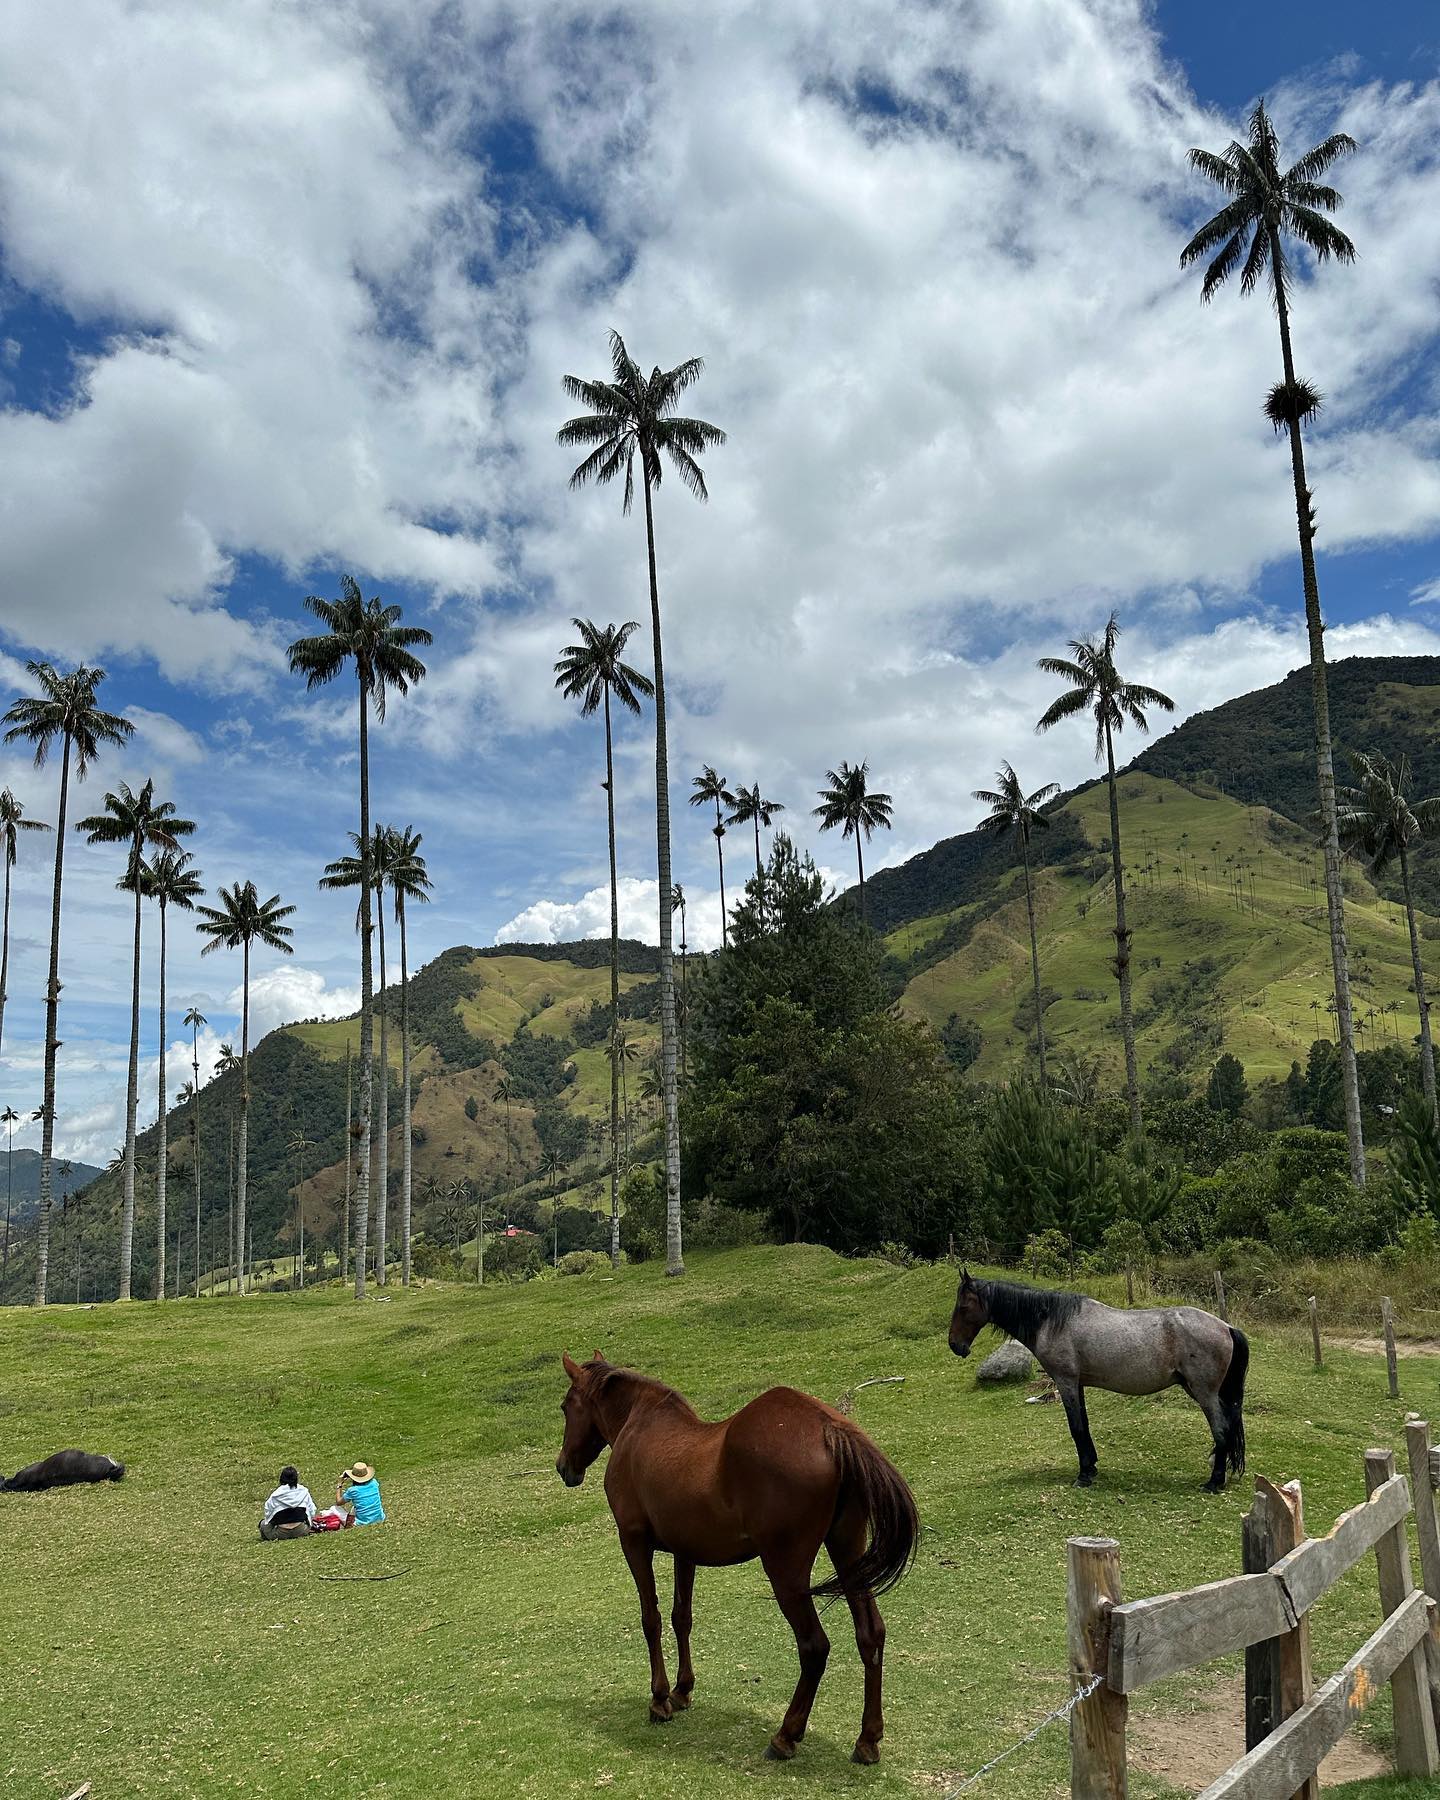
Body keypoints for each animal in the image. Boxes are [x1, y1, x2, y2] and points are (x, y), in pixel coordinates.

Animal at [558, 1353, 918, 1756]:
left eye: (565, 1407)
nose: (563, 1466)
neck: (639, 1426)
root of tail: (829, 1428)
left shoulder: (633, 1542)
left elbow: (651, 1618)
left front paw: (660, 1698)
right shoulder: (685, 1552)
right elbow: (681, 1617)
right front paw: (682, 1690)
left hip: (786, 1572)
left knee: (814, 1647)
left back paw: (785, 1735)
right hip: (848, 1550)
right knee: (870, 1634)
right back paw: (868, 1738)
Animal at [943, 1267, 1245, 1490]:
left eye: (963, 1307)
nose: (955, 1345)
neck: (1052, 1321)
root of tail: (1226, 1326)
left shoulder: (1065, 1382)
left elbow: (1076, 1428)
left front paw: (1083, 1476)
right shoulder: (1077, 1385)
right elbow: (1084, 1426)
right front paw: (1091, 1466)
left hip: (1203, 1392)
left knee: (1221, 1429)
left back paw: (1214, 1482)